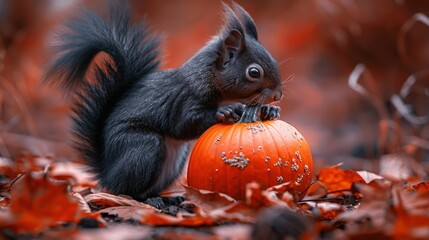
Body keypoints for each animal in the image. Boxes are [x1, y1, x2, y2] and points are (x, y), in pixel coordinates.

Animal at [45, 1, 282, 207]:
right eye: (254, 72)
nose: (278, 95)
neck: (210, 78)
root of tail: (108, 172)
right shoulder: (185, 98)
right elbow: (183, 124)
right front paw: (226, 111)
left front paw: (269, 110)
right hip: (144, 147)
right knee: (126, 190)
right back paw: (150, 200)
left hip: (174, 162)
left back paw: (167, 198)